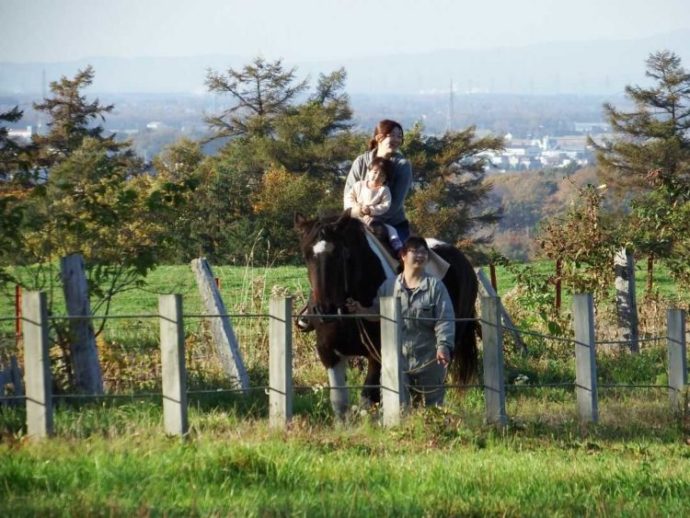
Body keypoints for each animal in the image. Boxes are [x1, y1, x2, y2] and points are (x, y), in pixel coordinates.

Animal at [292, 211, 478, 418]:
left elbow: (367, 399)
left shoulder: (378, 354)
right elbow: (339, 403)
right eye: (306, 255)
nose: (325, 310)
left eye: (341, 254)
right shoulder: (329, 353)